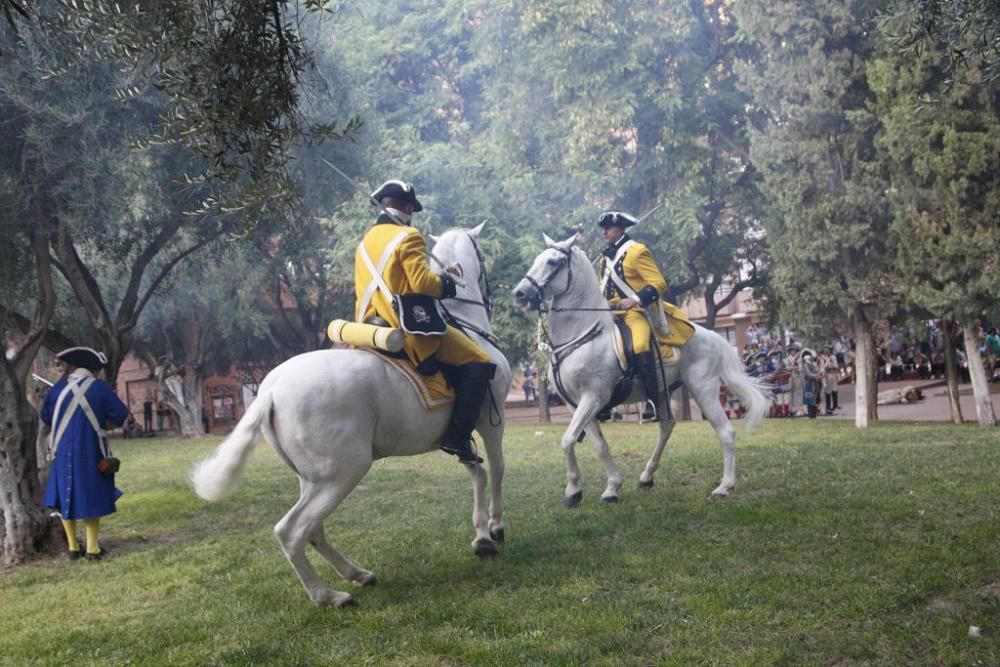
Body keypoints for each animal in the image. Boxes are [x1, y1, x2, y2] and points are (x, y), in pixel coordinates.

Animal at [191, 223, 512, 604]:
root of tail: (270, 387)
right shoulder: (491, 423)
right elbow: (496, 470)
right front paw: (495, 528)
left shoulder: (460, 436)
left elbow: (477, 472)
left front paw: (481, 535)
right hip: (342, 473)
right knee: (291, 531)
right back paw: (329, 596)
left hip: (314, 479)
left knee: (312, 530)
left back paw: (357, 574)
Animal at [512, 234, 768, 506]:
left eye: (553, 261)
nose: (519, 293)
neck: (583, 334)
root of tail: (711, 335)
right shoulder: (575, 403)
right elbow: (597, 445)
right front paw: (604, 487)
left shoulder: (594, 397)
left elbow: (567, 439)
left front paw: (576, 490)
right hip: (662, 390)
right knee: (667, 426)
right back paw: (647, 476)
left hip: (703, 389)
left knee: (725, 431)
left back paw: (725, 485)